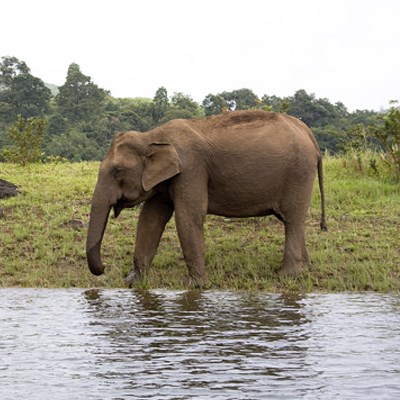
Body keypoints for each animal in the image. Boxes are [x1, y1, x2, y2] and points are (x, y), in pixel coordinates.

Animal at [86, 109, 326, 288]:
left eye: (117, 171)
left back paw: (288, 275)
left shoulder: (191, 169)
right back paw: (304, 268)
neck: (154, 135)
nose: (104, 267)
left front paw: (196, 286)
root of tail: (309, 134)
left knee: (292, 219)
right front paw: (133, 282)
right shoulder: (166, 180)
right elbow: (150, 219)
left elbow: (188, 216)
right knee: (293, 222)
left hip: (299, 174)